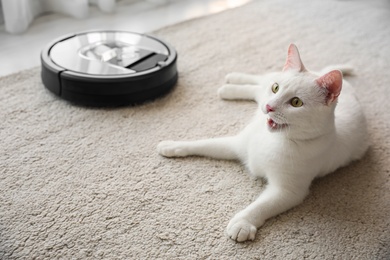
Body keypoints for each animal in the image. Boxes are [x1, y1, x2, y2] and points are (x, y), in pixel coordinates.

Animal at [156, 44, 368, 242]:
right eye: (276, 88)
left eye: (296, 102)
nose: (269, 106)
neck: (273, 139)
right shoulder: (235, 145)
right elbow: (204, 144)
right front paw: (172, 145)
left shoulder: (287, 191)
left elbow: (261, 206)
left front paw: (243, 223)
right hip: (262, 91)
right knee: (260, 82)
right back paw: (232, 83)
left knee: (257, 89)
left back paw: (230, 87)